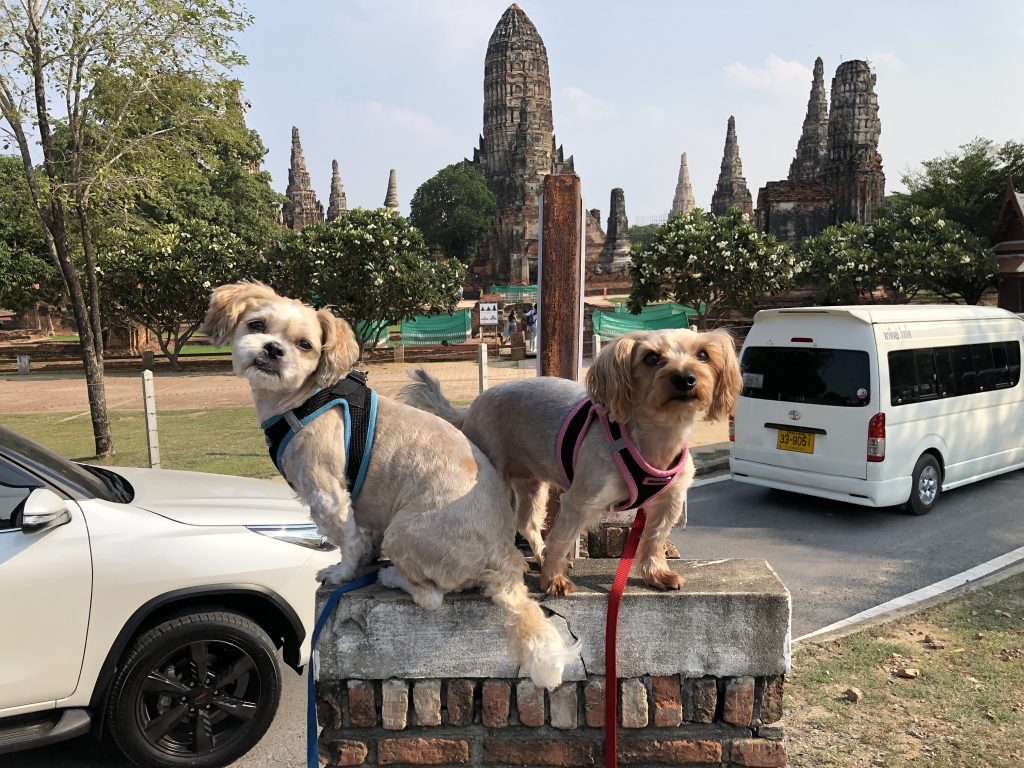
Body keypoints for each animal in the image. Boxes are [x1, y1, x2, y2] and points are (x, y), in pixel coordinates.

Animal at [203, 284, 581, 692]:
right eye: (257, 325)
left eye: (305, 345)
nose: (273, 349)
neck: (304, 400)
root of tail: (502, 558)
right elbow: (361, 536)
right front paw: (364, 560)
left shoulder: (327, 493)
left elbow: (347, 542)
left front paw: (342, 573)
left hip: (403, 532)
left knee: (431, 596)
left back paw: (391, 576)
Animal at [399, 327, 745, 598]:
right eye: (651, 358)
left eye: (703, 355)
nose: (685, 378)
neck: (655, 436)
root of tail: (469, 408)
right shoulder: (582, 499)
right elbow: (563, 536)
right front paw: (554, 581)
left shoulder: (669, 500)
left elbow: (655, 538)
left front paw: (656, 573)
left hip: (532, 482)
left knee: (526, 521)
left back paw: (539, 555)